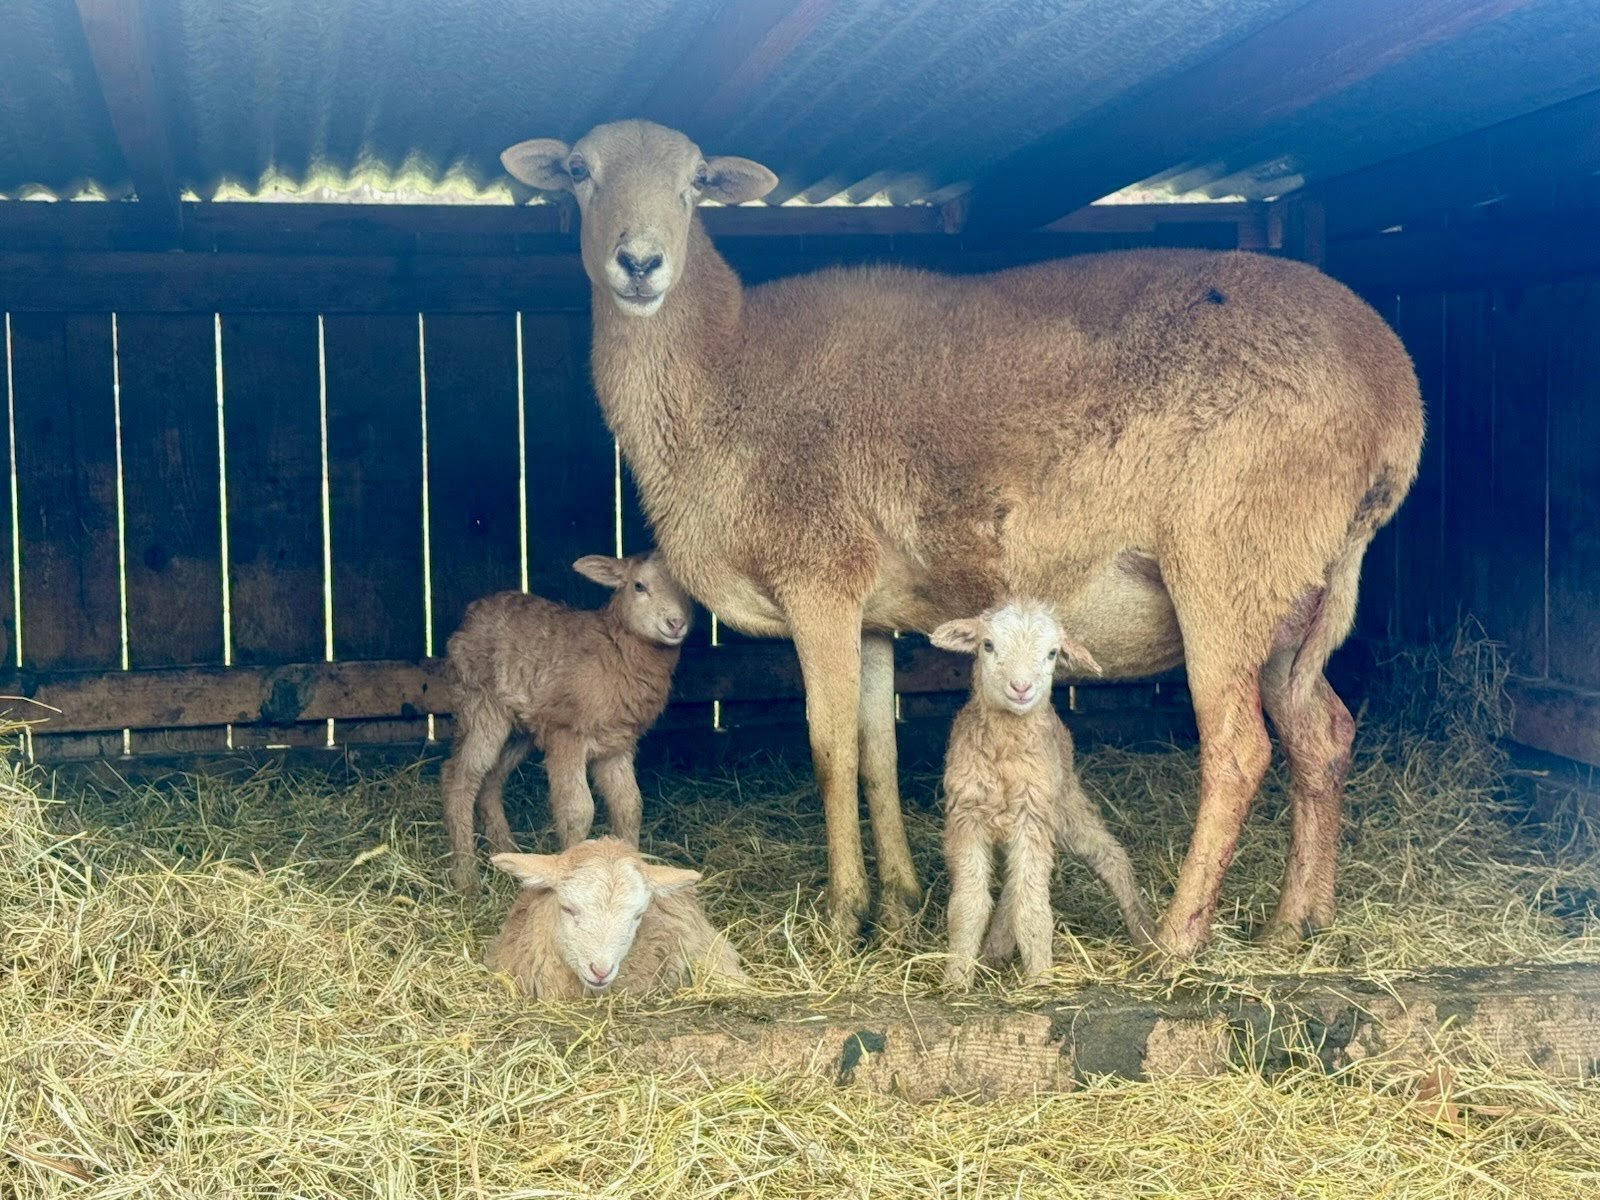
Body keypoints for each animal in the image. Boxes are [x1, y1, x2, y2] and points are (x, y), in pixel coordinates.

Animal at [441, 551, 691, 894]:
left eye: (688, 592)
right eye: (639, 585)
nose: (675, 623)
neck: (616, 652)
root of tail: (470, 615)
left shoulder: (616, 744)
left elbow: (629, 806)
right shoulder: (567, 733)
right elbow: (577, 811)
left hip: (522, 729)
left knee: (491, 778)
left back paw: (507, 853)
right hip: (480, 704)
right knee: (460, 775)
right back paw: (467, 878)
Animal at [932, 601, 1154, 988]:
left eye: (1052, 653)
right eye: (987, 645)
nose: (1021, 688)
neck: (1006, 754)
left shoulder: (1032, 815)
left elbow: (1033, 906)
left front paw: (1040, 979)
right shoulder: (967, 817)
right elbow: (968, 905)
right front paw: (956, 979)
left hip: (1064, 803)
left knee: (1110, 857)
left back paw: (1145, 934)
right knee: (1013, 887)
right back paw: (994, 952)